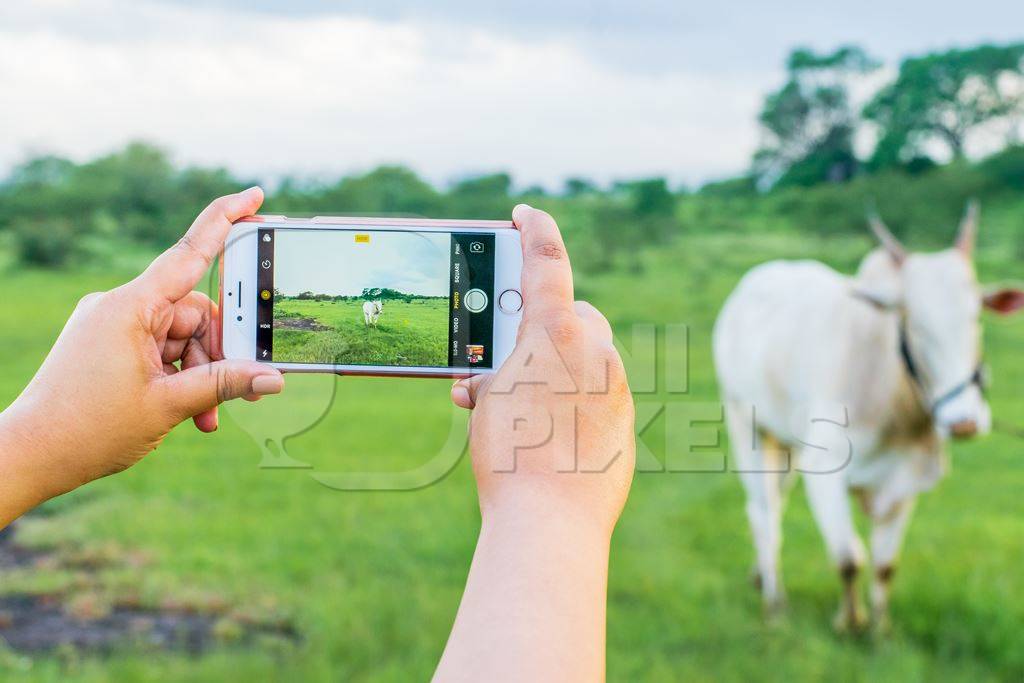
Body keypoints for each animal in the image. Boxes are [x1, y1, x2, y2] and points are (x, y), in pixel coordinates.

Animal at [712, 204, 1024, 634]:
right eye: (914, 322)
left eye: (977, 317)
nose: (963, 421)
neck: (891, 388)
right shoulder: (824, 471)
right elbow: (848, 559)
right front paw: (849, 621)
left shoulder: (905, 479)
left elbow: (884, 566)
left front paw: (879, 630)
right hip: (745, 421)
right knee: (765, 512)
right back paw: (774, 604)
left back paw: (759, 578)